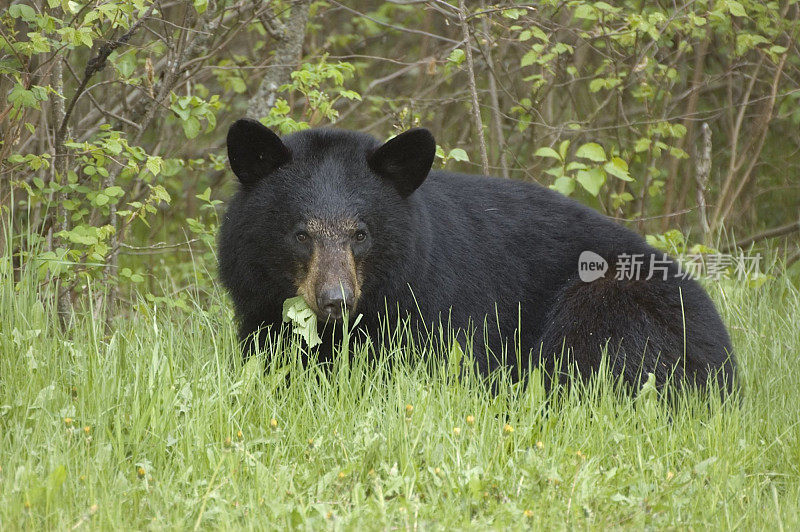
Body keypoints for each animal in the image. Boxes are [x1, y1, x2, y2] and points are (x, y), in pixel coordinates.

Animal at [219, 119, 736, 394]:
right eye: (300, 233)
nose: (335, 300)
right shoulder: (261, 306)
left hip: (625, 302)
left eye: (361, 233)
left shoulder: (437, 307)